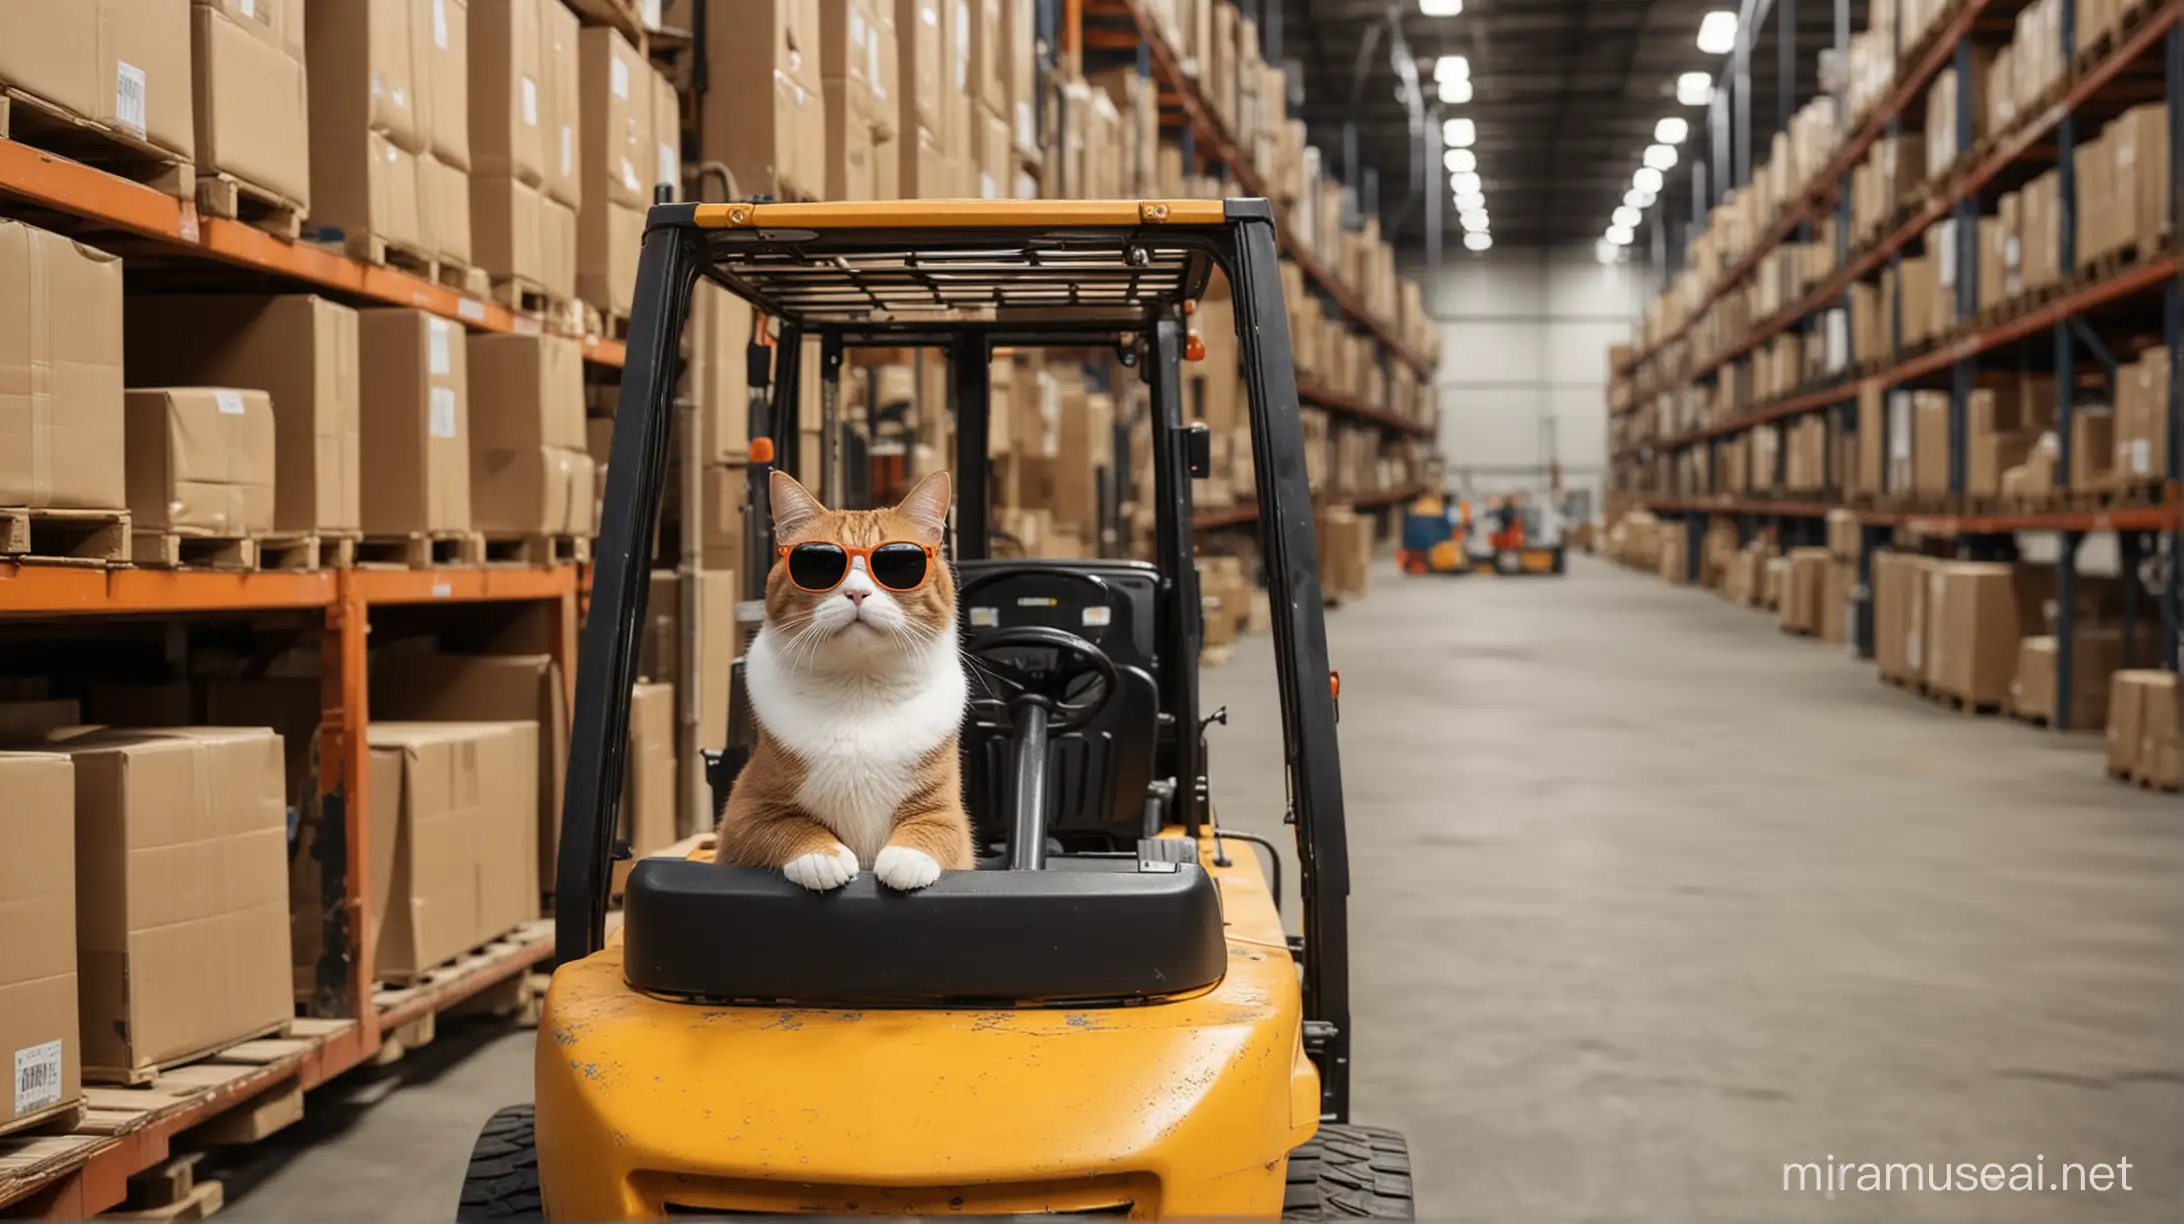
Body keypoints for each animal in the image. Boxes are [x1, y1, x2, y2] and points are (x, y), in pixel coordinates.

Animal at [716, 467, 974, 887]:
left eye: (898, 565)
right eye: (819, 565)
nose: (856, 593)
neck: (859, 688)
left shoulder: (948, 813)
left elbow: (934, 828)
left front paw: (908, 856)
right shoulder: (745, 811)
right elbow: (788, 824)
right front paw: (822, 855)